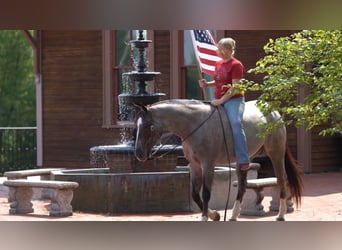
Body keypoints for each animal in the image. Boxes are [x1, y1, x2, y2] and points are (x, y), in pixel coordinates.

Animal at [134, 99, 302, 221]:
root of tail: (273, 111)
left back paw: (280, 215)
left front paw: (206, 218)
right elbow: (195, 195)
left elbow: (206, 194)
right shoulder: (194, 166)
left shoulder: (208, 165)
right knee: (242, 186)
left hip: (276, 153)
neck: (195, 124)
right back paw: (233, 216)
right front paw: (215, 215)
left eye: (147, 126)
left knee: (281, 179)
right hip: (245, 160)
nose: (138, 153)